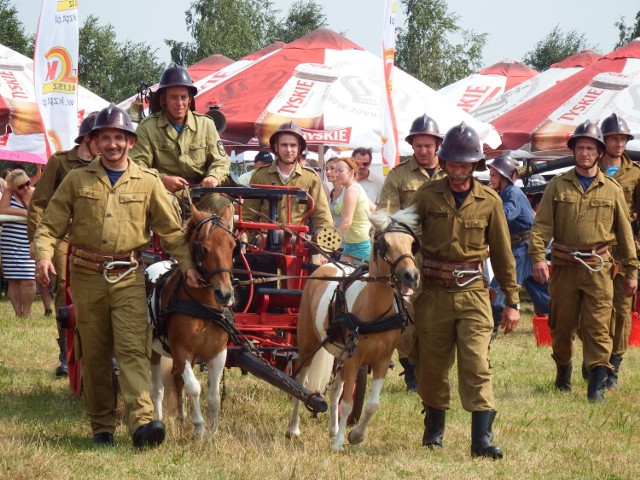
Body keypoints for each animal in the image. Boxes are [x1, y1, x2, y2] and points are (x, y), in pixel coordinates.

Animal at [148, 204, 238, 436]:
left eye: (233, 246)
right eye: (204, 249)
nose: (225, 294)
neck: (204, 306)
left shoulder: (218, 353)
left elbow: (213, 396)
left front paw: (213, 430)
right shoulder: (182, 351)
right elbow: (194, 387)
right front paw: (199, 428)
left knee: (175, 378)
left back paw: (181, 417)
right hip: (152, 351)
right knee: (157, 389)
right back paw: (158, 419)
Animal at [286, 205, 420, 450]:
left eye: (411, 243)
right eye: (384, 244)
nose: (411, 276)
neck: (374, 310)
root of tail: (327, 265)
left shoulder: (381, 361)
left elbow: (372, 404)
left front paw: (355, 435)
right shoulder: (355, 359)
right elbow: (347, 403)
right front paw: (339, 444)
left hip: (340, 354)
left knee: (335, 390)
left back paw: (333, 429)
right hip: (309, 344)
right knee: (301, 384)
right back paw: (293, 429)